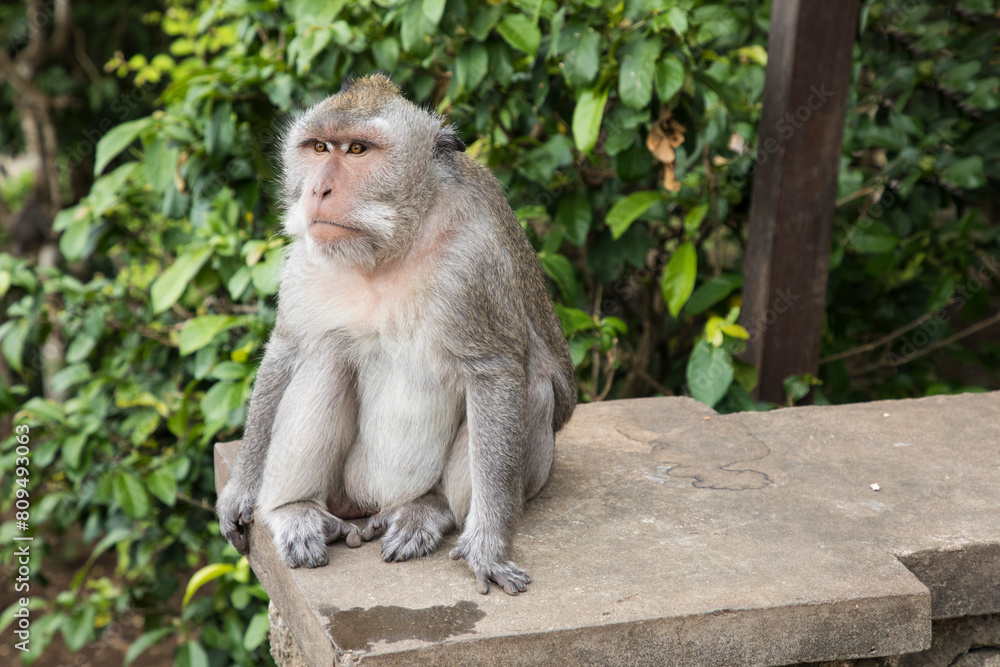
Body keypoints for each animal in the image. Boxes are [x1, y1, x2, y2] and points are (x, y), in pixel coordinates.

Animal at [216, 74, 576, 595]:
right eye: (319, 147)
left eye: (357, 149)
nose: (318, 190)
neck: (390, 247)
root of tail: (374, 503)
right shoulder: (307, 256)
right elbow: (287, 348)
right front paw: (242, 490)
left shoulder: (474, 263)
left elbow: (496, 372)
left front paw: (488, 545)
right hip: (347, 486)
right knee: (327, 351)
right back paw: (296, 511)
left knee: (533, 388)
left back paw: (428, 510)